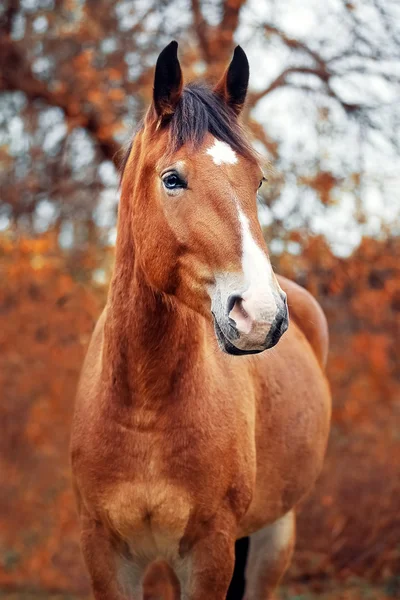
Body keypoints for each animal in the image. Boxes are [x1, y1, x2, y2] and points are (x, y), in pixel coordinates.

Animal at [71, 42, 332, 600]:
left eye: (257, 180)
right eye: (173, 179)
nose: (261, 314)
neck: (144, 410)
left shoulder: (212, 550)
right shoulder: (103, 551)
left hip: (275, 534)